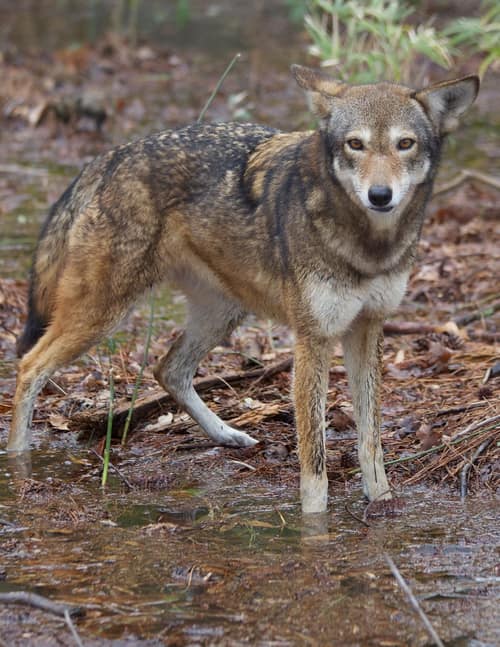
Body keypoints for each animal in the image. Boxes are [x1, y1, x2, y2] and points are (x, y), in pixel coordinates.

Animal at [8, 65, 479, 513]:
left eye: (405, 144)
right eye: (355, 144)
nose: (380, 195)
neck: (368, 246)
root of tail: (109, 157)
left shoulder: (367, 329)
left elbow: (370, 439)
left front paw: (381, 501)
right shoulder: (313, 339)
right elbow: (314, 458)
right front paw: (315, 524)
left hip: (221, 315)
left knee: (168, 369)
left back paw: (228, 435)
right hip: (103, 316)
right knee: (29, 366)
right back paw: (16, 458)